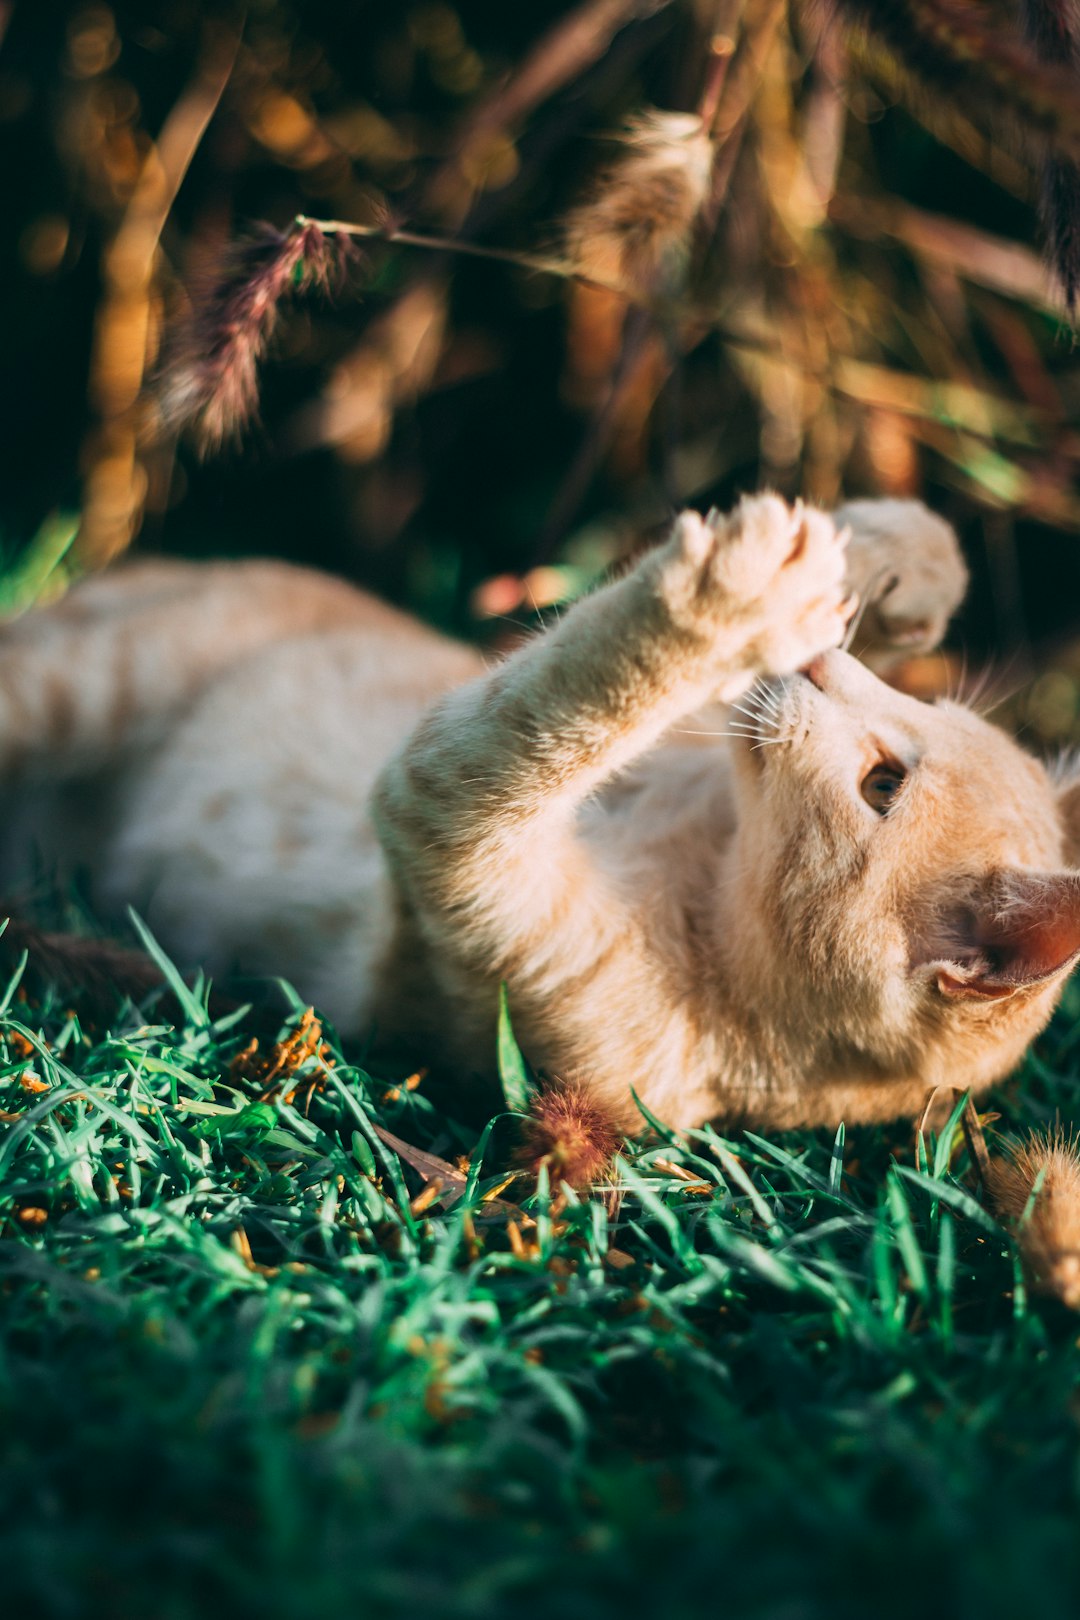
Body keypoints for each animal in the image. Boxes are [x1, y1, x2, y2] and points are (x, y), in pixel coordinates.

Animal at [8, 489, 1080, 1140]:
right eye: (913, 716)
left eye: (883, 785)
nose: (820, 665)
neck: (705, 862)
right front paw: (891, 567)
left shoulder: (450, 831)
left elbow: (558, 704)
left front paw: (725, 607)